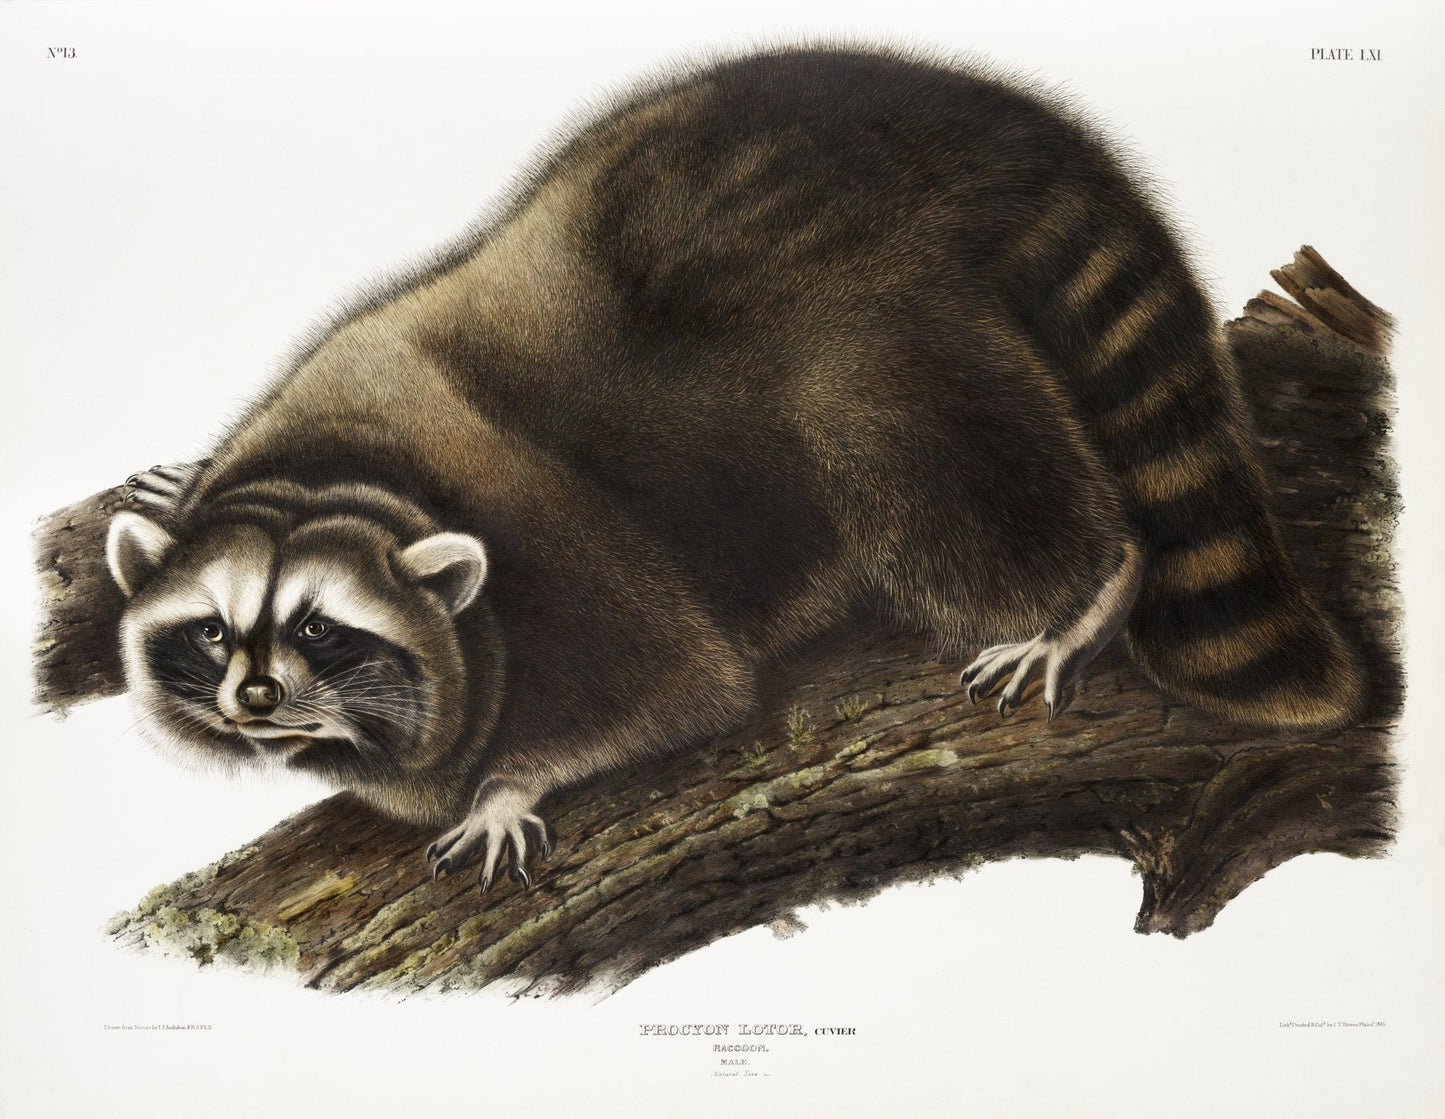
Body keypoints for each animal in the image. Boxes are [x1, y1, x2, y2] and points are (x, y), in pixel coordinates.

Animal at [105, 46, 1364, 893]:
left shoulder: (557, 547)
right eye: (213, 631)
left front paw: (512, 781)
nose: (256, 700)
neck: (343, 477)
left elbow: (677, 686)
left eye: (321, 629)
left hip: (869, 320)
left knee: (914, 454)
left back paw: (1084, 588)